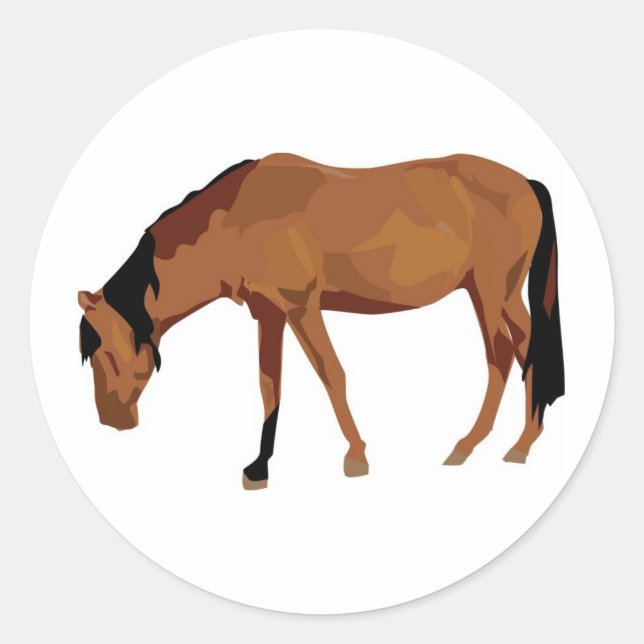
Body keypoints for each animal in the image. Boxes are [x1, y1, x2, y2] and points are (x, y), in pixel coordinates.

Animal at [78, 153, 565, 489]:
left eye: (107, 349)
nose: (111, 420)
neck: (237, 219)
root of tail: (526, 182)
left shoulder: (300, 308)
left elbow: (331, 373)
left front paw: (356, 458)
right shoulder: (269, 312)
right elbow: (269, 384)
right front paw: (259, 468)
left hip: (491, 292)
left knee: (505, 355)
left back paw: (484, 447)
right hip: (494, 295)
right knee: (523, 352)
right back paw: (507, 446)